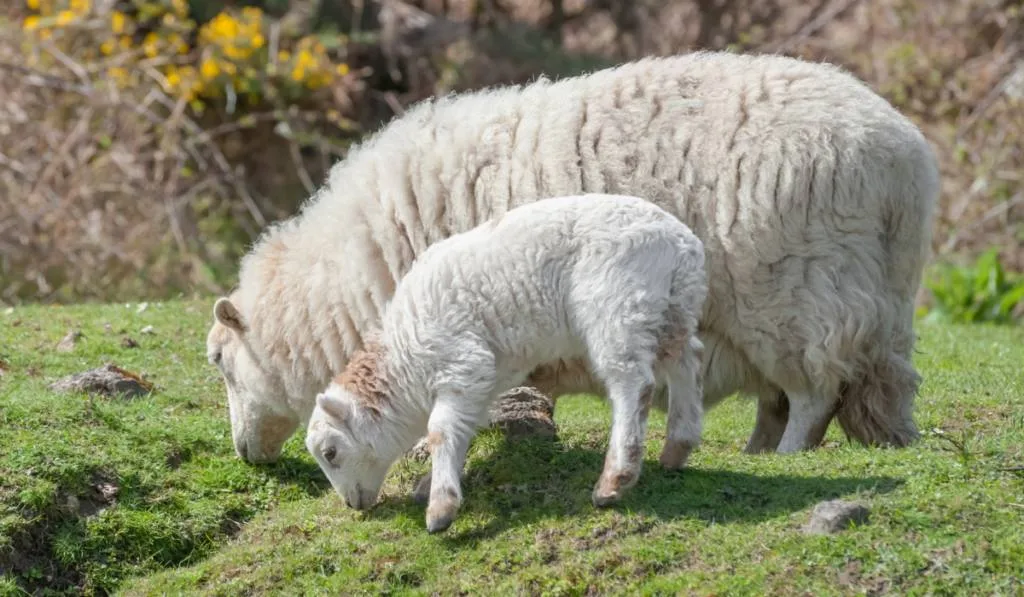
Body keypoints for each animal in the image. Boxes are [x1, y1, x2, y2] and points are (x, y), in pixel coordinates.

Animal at [205, 49, 937, 464]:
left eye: (218, 362)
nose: (244, 455)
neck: (351, 272)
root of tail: (908, 161)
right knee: (787, 395)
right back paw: (757, 450)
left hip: (799, 292)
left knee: (814, 390)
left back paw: (784, 455)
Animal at [303, 194, 704, 532]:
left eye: (331, 452)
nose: (353, 505)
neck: (404, 363)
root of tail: (681, 241)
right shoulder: (483, 376)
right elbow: (463, 428)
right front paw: (432, 484)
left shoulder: (461, 360)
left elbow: (440, 430)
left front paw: (440, 509)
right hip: (673, 306)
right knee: (686, 362)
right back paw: (677, 448)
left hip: (617, 302)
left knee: (633, 383)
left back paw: (614, 480)